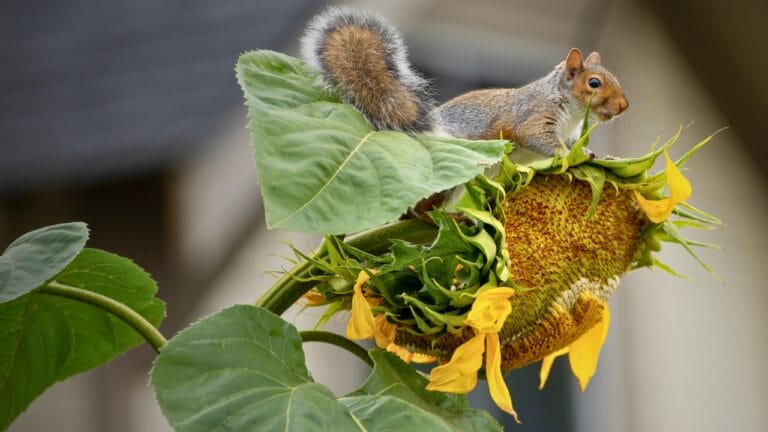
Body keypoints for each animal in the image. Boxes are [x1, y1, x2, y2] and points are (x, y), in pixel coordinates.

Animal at [300, 7, 629, 157]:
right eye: (594, 83)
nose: (624, 106)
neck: (571, 114)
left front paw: (592, 153)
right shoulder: (534, 116)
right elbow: (539, 139)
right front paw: (569, 154)